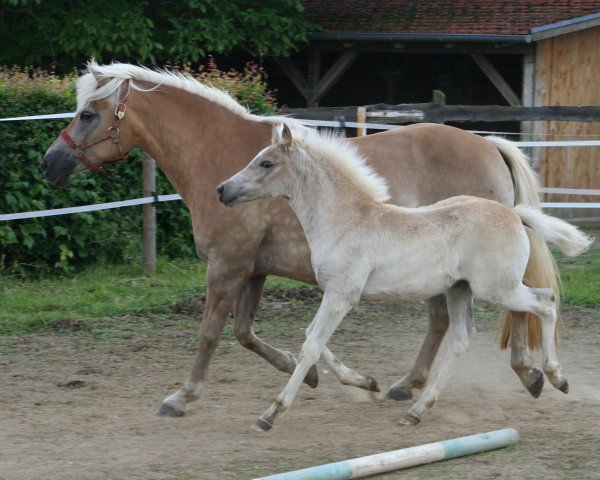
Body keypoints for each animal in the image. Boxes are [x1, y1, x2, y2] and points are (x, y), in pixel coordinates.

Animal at [42, 62, 556, 418]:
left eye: (87, 113)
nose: (50, 164)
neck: (222, 157)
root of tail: (491, 144)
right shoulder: (254, 271)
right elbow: (247, 334)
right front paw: (317, 376)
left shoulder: (227, 266)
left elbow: (210, 334)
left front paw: (181, 397)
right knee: (449, 322)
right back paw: (406, 387)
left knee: (514, 308)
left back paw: (529, 374)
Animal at [217, 125, 592, 430]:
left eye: (266, 163)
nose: (222, 190)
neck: (345, 219)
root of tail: (514, 214)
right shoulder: (334, 294)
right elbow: (313, 337)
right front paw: (367, 383)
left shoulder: (341, 295)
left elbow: (311, 345)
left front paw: (271, 414)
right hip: (461, 290)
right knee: (461, 338)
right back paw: (417, 410)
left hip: (498, 289)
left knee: (546, 302)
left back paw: (555, 378)